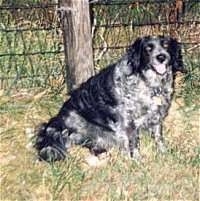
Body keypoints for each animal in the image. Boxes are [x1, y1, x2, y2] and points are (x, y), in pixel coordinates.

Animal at [34, 35, 186, 162]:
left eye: (166, 45)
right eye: (148, 48)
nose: (161, 57)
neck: (150, 84)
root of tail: (55, 122)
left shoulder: (156, 116)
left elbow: (158, 137)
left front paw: (164, 153)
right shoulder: (127, 123)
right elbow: (133, 144)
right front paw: (135, 161)